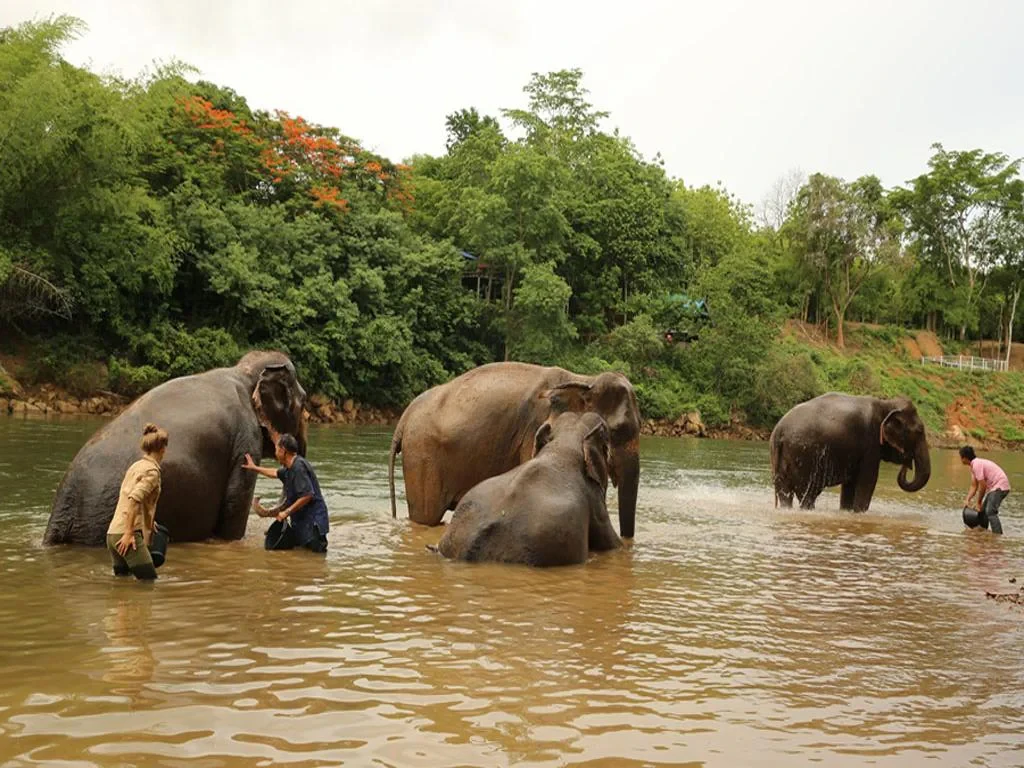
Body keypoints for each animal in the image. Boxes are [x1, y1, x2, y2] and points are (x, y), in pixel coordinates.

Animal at [388, 362, 641, 537]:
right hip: (422, 456)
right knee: (426, 516)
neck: (583, 379)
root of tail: (403, 419)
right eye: (616, 431)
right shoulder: (534, 430)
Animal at [769, 392, 931, 512]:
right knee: (808, 495)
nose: (907, 463)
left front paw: (846, 511)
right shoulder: (870, 444)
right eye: (919, 431)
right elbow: (868, 481)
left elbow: (850, 485)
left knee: (785, 494)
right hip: (804, 457)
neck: (885, 404)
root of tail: (779, 431)